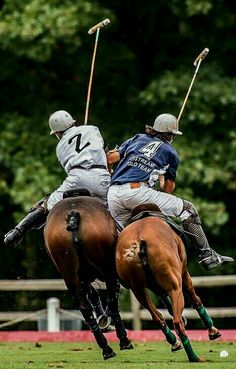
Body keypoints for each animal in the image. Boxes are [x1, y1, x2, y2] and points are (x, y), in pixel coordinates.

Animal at [43, 194, 133, 358]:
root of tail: (73, 213)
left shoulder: (82, 279)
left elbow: (93, 296)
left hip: (69, 273)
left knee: (84, 307)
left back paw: (106, 348)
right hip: (106, 267)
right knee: (111, 300)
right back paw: (123, 340)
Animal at [115, 204, 220, 362]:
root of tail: (138, 240)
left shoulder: (153, 286)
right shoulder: (184, 273)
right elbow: (195, 299)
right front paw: (213, 331)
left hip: (137, 290)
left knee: (157, 317)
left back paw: (175, 343)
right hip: (175, 287)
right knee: (177, 321)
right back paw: (194, 357)